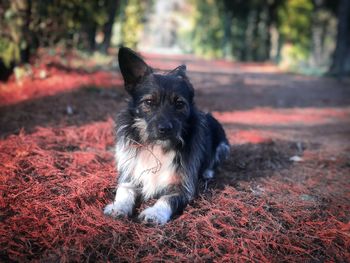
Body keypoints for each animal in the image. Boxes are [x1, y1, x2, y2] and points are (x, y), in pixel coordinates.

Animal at [103, 47, 230, 225]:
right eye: (149, 102)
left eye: (179, 104)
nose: (165, 129)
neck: (157, 146)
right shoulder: (129, 175)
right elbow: (124, 191)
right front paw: (118, 207)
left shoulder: (183, 188)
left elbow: (166, 199)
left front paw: (155, 213)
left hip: (224, 147)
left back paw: (207, 172)